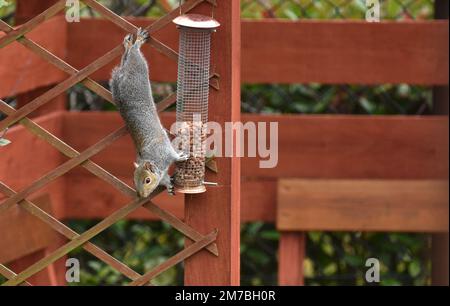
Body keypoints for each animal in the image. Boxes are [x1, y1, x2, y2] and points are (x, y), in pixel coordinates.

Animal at [110, 28, 187, 196]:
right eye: (133, 180)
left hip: (139, 68)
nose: (143, 196)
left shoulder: (164, 152)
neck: (153, 159)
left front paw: (180, 157)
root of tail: (122, 75)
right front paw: (168, 185)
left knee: (133, 55)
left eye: (147, 180)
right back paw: (129, 44)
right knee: (127, 57)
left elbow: (173, 156)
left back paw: (135, 43)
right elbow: (164, 179)